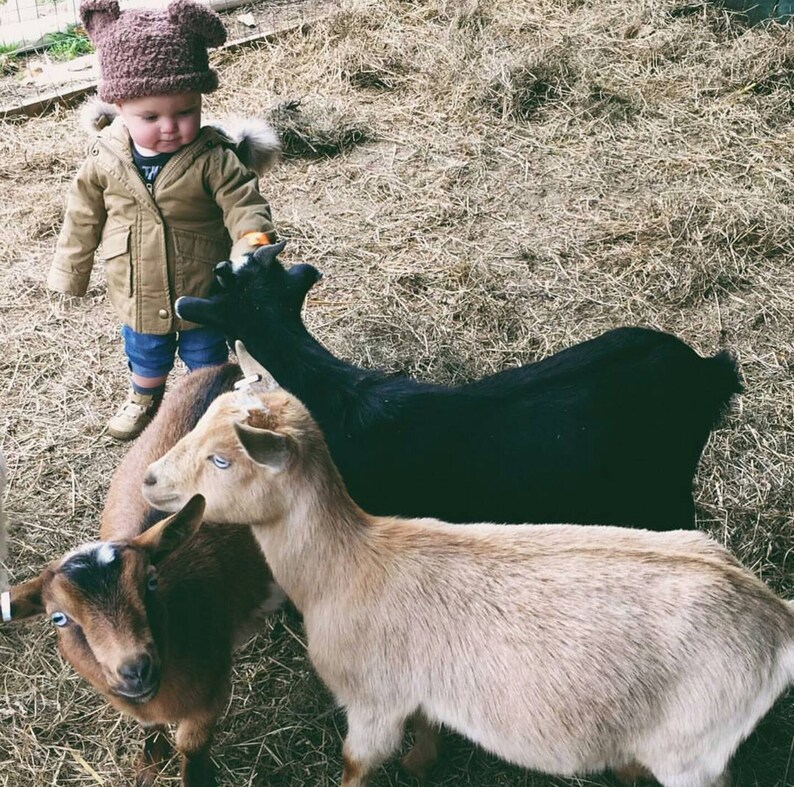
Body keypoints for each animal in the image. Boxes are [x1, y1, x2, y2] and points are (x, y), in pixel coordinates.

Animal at [1, 368, 280, 787]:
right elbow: (150, 729)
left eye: (151, 582)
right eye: (58, 618)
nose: (136, 669)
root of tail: (230, 370)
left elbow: (192, 745)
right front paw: (149, 764)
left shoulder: (212, 689)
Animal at [142, 342, 792, 787]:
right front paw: (422, 764)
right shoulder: (418, 688)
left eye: (223, 460)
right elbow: (427, 728)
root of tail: (774, 617)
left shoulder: (372, 701)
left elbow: (357, 763)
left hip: (692, 751)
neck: (345, 565)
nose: (149, 479)